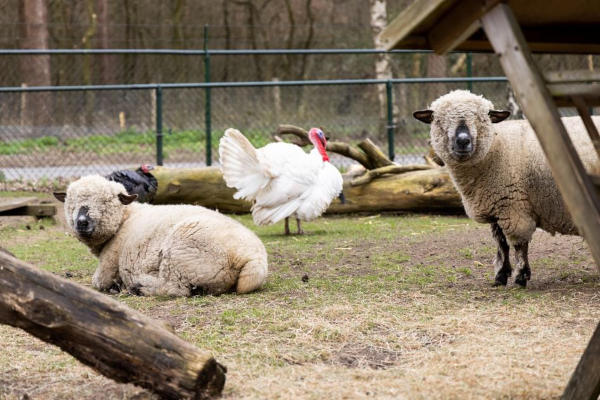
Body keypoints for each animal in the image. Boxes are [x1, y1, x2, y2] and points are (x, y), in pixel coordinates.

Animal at [55, 176, 268, 296]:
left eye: (106, 201)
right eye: (70, 201)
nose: (82, 222)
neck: (126, 218)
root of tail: (252, 259)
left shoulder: (108, 266)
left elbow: (98, 282)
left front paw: (116, 285)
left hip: (180, 254)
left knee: (175, 289)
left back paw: (139, 287)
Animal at [414, 89, 596, 286]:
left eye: (482, 118)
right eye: (438, 120)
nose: (463, 141)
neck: (495, 149)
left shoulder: (513, 206)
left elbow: (518, 245)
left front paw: (521, 277)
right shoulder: (497, 207)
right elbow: (501, 243)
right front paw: (501, 276)